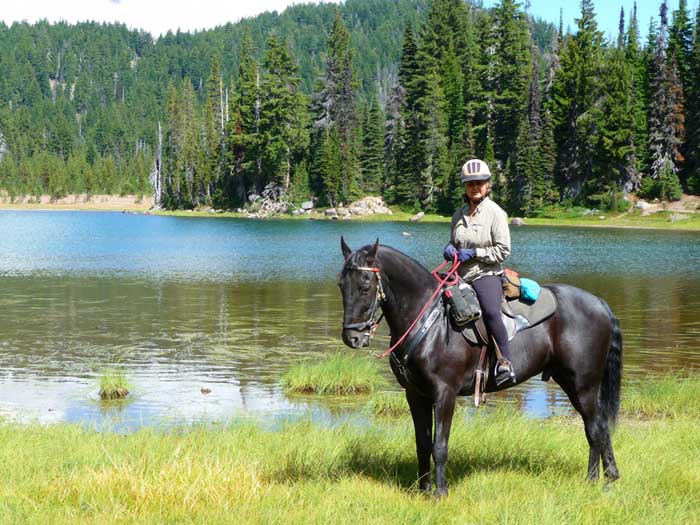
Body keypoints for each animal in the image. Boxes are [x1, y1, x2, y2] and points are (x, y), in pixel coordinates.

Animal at [340, 238, 624, 496]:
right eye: (341, 285)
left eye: (365, 286)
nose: (351, 337)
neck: (429, 322)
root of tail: (600, 304)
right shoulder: (415, 394)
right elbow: (422, 444)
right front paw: (423, 490)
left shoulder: (445, 394)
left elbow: (439, 445)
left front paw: (440, 494)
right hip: (572, 383)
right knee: (600, 426)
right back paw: (608, 476)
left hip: (583, 385)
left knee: (594, 429)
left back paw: (594, 480)